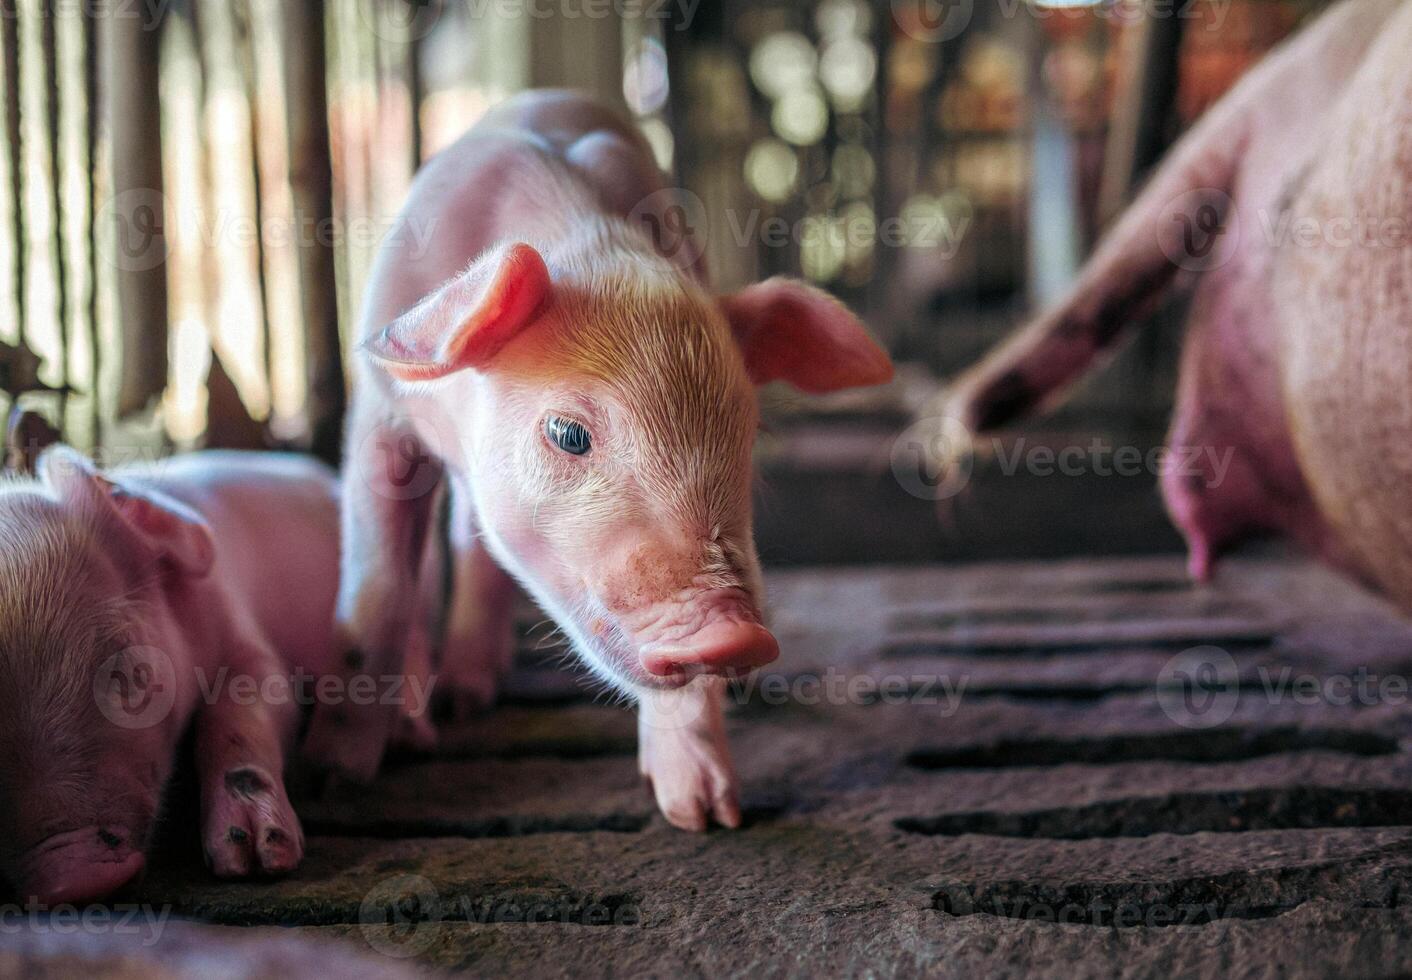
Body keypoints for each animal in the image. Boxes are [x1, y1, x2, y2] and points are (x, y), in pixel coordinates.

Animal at [309, 90, 892, 830]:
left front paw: (706, 817)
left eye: (747, 431)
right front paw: (335, 782)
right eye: (568, 432)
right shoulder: (381, 416)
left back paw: (465, 698)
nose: (734, 633)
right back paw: (436, 717)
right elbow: (380, 587)